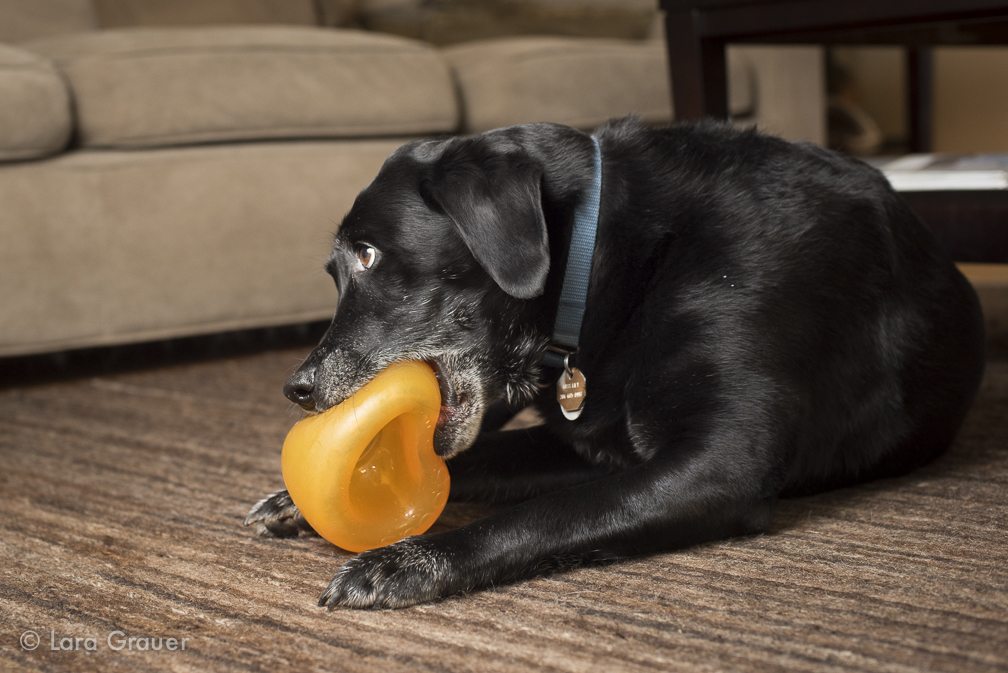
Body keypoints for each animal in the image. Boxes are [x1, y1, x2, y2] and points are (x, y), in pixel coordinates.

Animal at [243, 116, 983, 608]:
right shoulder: (588, 443)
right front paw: (294, 502)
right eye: (333, 270)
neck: (611, 260)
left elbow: (546, 515)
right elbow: (480, 461)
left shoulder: (720, 465)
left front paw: (407, 561)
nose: (296, 387)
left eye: (368, 255)